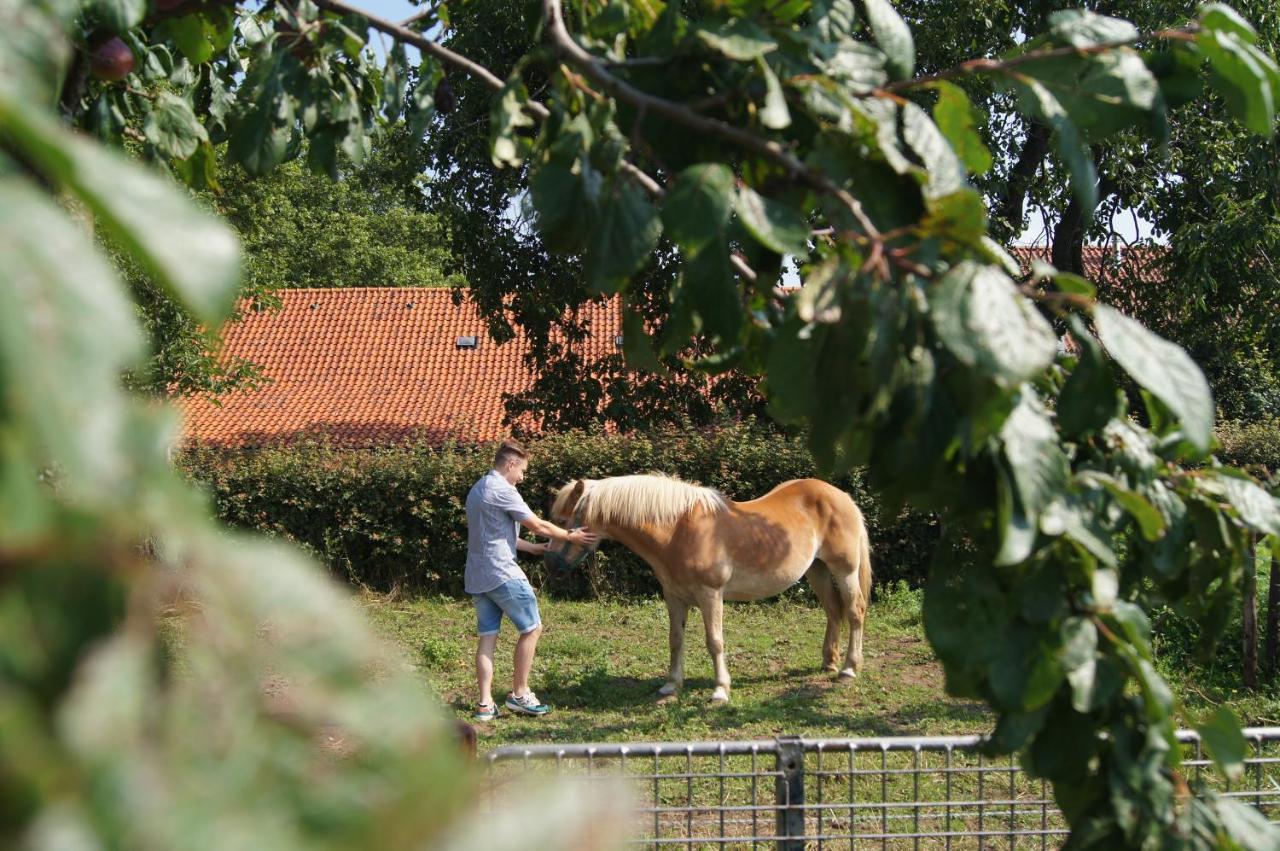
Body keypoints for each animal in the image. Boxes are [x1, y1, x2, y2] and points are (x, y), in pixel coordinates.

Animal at [545, 473, 875, 701]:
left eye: (562, 521)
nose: (551, 566)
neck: (678, 530)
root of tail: (841, 496)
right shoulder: (674, 596)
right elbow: (675, 639)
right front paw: (671, 685)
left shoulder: (710, 595)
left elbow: (714, 641)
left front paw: (720, 690)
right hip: (817, 570)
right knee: (833, 611)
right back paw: (829, 663)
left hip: (844, 570)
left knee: (855, 611)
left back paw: (848, 669)